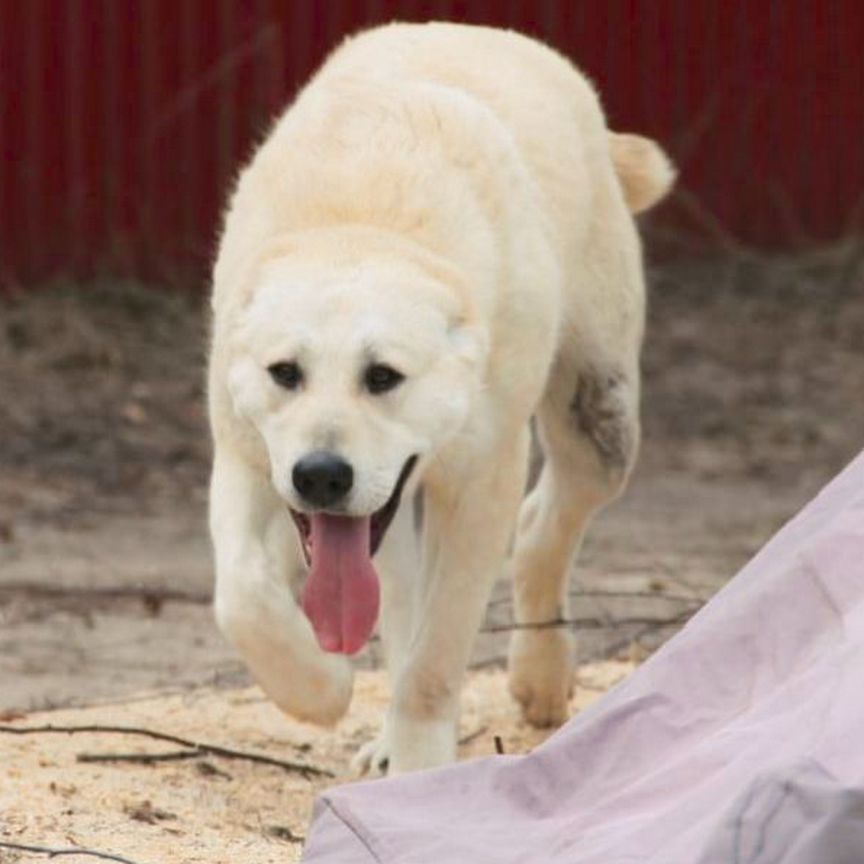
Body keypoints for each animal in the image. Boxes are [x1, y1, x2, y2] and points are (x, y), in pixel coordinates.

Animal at [209, 20, 676, 776]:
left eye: (383, 376)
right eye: (284, 372)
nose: (320, 476)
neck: (363, 223)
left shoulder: (482, 481)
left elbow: (437, 654)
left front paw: (420, 763)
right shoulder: (245, 453)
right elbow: (243, 596)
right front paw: (321, 688)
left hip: (598, 415)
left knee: (546, 521)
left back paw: (540, 675)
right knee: (402, 595)